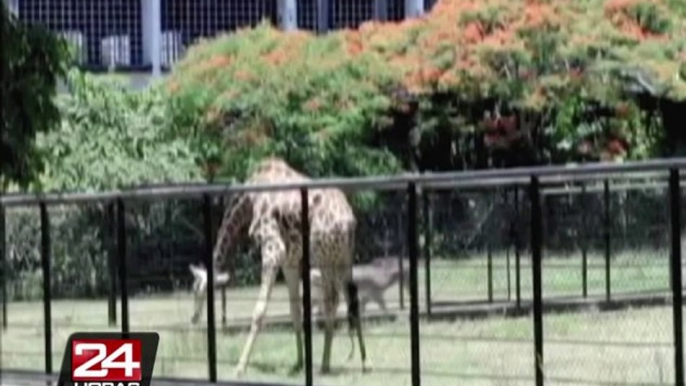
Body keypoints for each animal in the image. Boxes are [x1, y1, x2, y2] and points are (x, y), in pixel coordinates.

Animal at [188, 156, 370, 374]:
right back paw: (364, 363)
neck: (247, 201)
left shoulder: (274, 249)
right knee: (351, 300)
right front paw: (299, 362)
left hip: (324, 257)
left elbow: (259, 310)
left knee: (331, 301)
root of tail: (349, 221)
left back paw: (325, 364)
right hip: (344, 257)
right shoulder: (289, 260)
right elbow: (295, 309)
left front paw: (240, 367)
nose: (193, 318)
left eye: (196, 290)